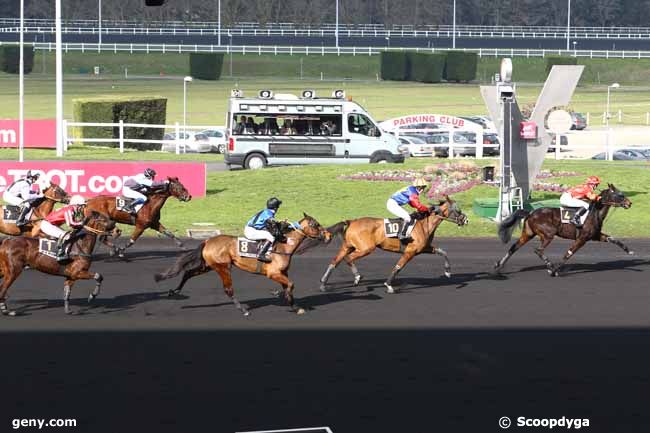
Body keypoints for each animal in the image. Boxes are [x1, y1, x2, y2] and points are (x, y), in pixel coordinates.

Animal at [155, 214, 332, 316]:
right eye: (316, 224)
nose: (328, 236)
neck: (283, 245)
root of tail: (208, 241)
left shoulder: (283, 272)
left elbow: (288, 286)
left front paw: (294, 305)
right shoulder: (273, 273)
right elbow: (291, 285)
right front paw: (288, 301)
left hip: (208, 266)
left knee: (188, 273)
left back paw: (174, 291)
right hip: (223, 267)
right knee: (228, 289)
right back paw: (243, 309)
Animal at [316, 197, 464, 294]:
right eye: (457, 210)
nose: (465, 220)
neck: (423, 224)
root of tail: (352, 221)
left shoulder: (424, 248)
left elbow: (443, 252)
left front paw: (448, 271)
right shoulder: (410, 251)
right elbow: (398, 267)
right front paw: (389, 285)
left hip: (347, 246)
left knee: (335, 261)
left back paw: (323, 284)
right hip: (366, 248)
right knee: (349, 258)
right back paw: (357, 277)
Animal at [494, 183, 632, 276]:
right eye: (620, 194)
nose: (629, 203)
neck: (594, 212)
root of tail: (531, 213)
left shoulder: (595, 236)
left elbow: (613, 239)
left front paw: (629, 251)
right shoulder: (582, 238)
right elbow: (568, 254)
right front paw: (555, 270)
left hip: (528, 234)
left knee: (513, 248)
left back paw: (498, 267)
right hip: (548, 235)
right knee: (538, 250)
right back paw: (550, 266)